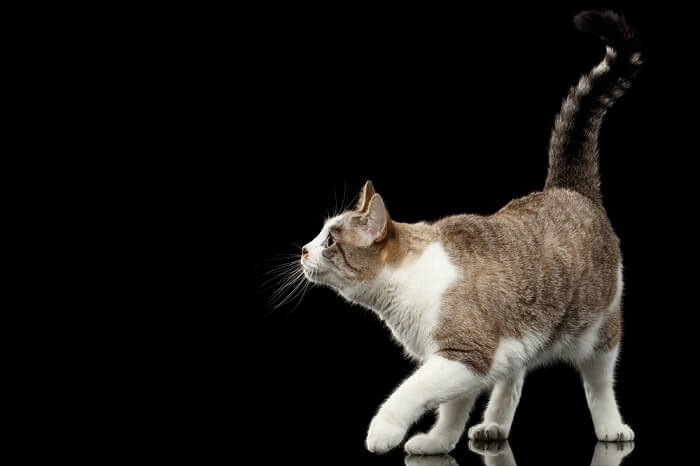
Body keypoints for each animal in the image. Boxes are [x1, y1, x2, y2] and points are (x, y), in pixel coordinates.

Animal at [298, 10, 644, 456]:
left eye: (329, 240)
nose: (303, 250)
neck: (404, 287)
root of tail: (567, 188)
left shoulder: (465, 353)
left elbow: (410, 392)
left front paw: (384, 431)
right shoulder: (466, 361)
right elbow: (453, 408)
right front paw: (437, 442)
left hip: (601, 332)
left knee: (599, 384)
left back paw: (610, 427)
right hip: (521, 335)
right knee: (514, 377)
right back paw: (495, 424)